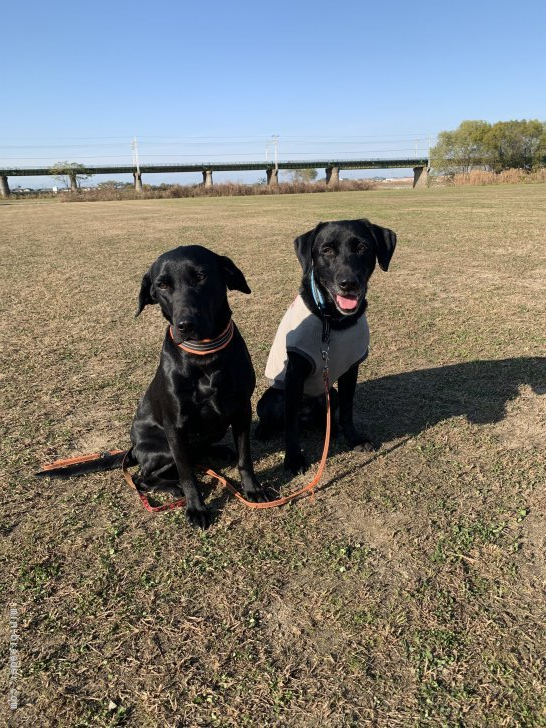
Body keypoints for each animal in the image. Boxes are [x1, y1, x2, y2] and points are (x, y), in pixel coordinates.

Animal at [38, 247, 266, 528]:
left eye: (201, 276)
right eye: (162, 285)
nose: (185, 325)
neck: (204, 357)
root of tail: (133, 449)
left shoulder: (242, 409)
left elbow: (245, 458)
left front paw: (253, 489)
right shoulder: (175, 426)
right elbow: (187, 473)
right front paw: (196, 508)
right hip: (163, 448)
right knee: (144, 477)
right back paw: (172, 487)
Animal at [255, 219, 396, 474]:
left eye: (362, 247)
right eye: (327, 250)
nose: (348, 283)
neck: (332, 321)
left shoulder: (351, 370)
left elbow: (348, 411)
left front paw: (354, 439)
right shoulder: (294, 375)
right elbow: (290, 427)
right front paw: (293, 459)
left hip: (331, 394)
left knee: (326, 417)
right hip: (271, 399)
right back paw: (262, 431)